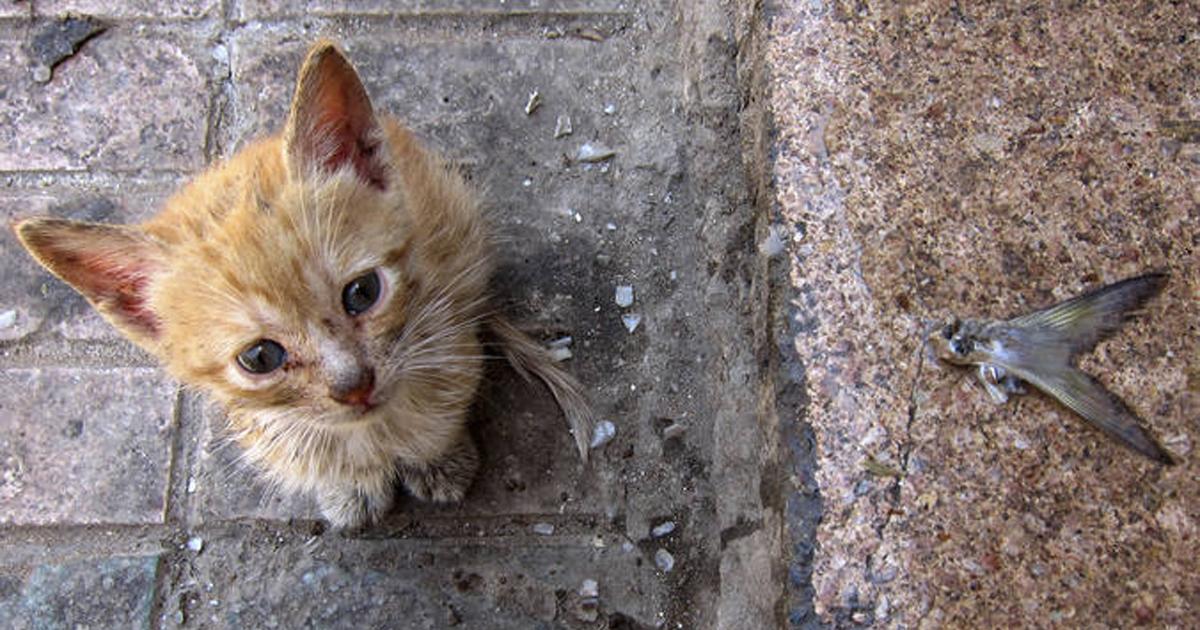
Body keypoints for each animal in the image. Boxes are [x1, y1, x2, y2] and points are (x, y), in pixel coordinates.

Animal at [9, 39, 590, 528]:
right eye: (260, 357)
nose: (354, 386)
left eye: (362, 293)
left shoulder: (446, 329)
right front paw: (350, 485)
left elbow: (443, 403)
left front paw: (439, 458)